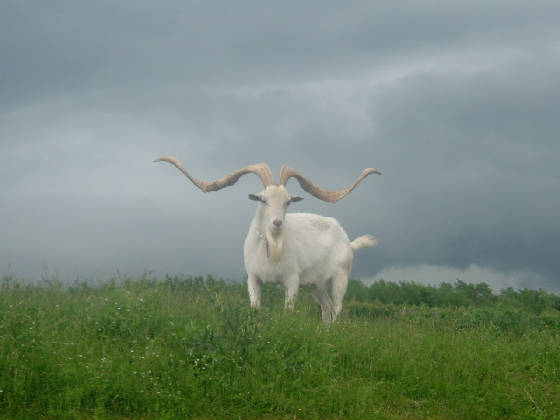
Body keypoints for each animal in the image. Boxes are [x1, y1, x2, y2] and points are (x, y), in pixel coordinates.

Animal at [154, 158, 380, 322]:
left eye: (288, 201)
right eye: (263, 199)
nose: (277, 223)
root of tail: (348, 242)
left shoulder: (292, 280)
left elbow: (288, 310)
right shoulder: (253, 278)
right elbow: (255, 307)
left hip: (341, 277)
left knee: (337, 307)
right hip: (316, 285)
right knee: (326, 308)